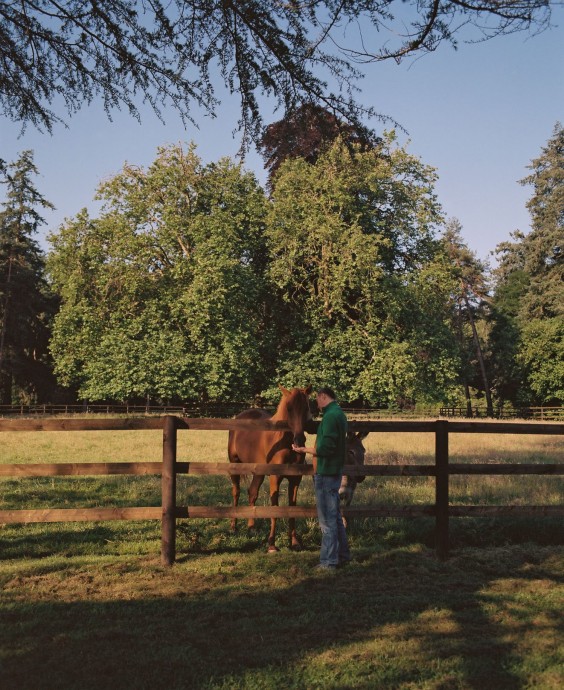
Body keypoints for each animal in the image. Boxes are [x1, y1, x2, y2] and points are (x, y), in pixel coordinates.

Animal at [226, 384, 312, 552]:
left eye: (306, 407)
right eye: (289, 408)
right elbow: (275, 508)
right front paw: (271, 544)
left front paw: (295, 542)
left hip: (258, 472)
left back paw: (251, 527)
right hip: (235, 464)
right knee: (236, 492)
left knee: (252, 493)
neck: (283, 443)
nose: (299, 440)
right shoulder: (275, 478)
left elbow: (292, 508)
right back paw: (233, 527)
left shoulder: (295, 479)